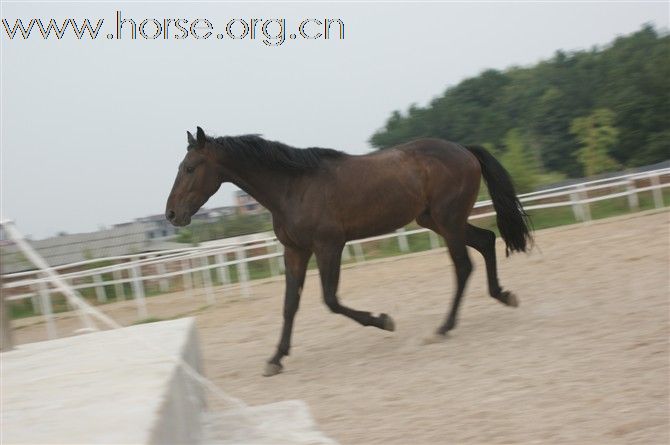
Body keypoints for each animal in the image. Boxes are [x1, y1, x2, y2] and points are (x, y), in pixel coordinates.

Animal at [165, 125, 532, 374]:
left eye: (190, 168)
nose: (171, 214)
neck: (292, 188)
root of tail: (464, 150)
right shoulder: (295, 251)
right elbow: (289, 305)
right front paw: (276, 359)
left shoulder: (329, 246)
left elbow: (330, 299)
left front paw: (383, 320)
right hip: (437, 221)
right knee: (486, 241)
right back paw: (504, 295)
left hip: (448, 221)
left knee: (463, 266)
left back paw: (443, 328)